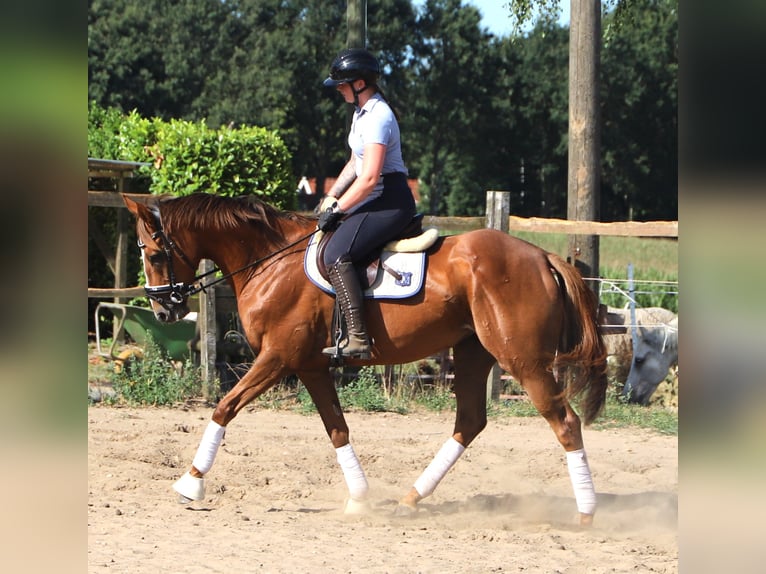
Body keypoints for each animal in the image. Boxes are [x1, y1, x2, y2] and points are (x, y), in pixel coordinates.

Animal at [123, 193, 608, 527]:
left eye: (154, 254)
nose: (162, 311)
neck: (270, 261)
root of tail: (542, 256)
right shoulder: (310, 365)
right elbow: (337, 428)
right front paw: (359, 498)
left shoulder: (277, 358)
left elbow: (225, 407)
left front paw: (191, 482)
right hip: (474, 353)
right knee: (470, 421)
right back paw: (412, 498)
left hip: (523, 360)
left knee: (564, 422)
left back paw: (586, 513)